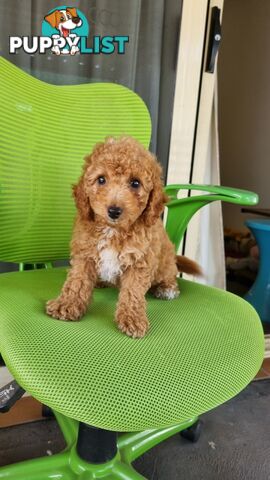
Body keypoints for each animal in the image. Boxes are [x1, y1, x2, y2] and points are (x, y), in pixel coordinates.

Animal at [46, 135, 199, 338]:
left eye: (135, 183)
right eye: (101, 179)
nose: (114, 211)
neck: (113, 230)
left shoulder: (139, 261)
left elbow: (132, 292)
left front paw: (132, 319)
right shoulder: (85, 254)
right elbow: (77, 281)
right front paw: (66, 304)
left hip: (166, 262)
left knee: (169, 274)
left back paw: (167, 289)